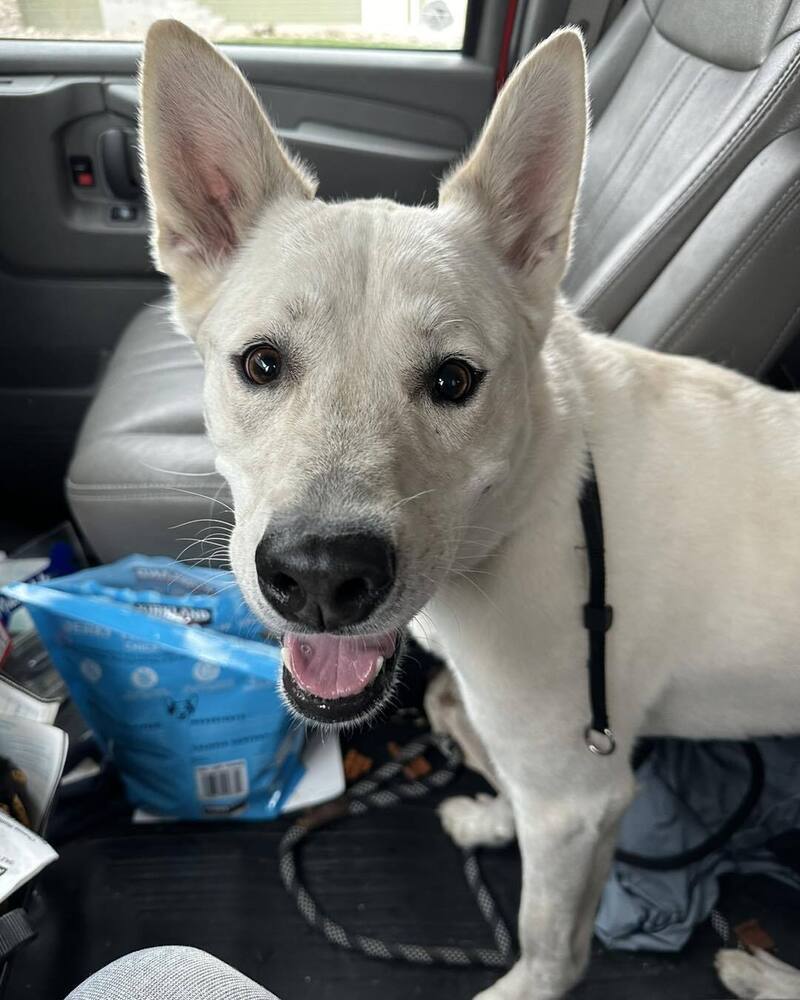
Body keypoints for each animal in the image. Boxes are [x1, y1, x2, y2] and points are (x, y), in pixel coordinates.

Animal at [139, 23, 800, 1000]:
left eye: (453, 381)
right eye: (260, 364)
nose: (321, 579)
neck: (541, 502)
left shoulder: (578, 792)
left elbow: (550, 946)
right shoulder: (564, 791)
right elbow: (525, 821)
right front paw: (492, 820)